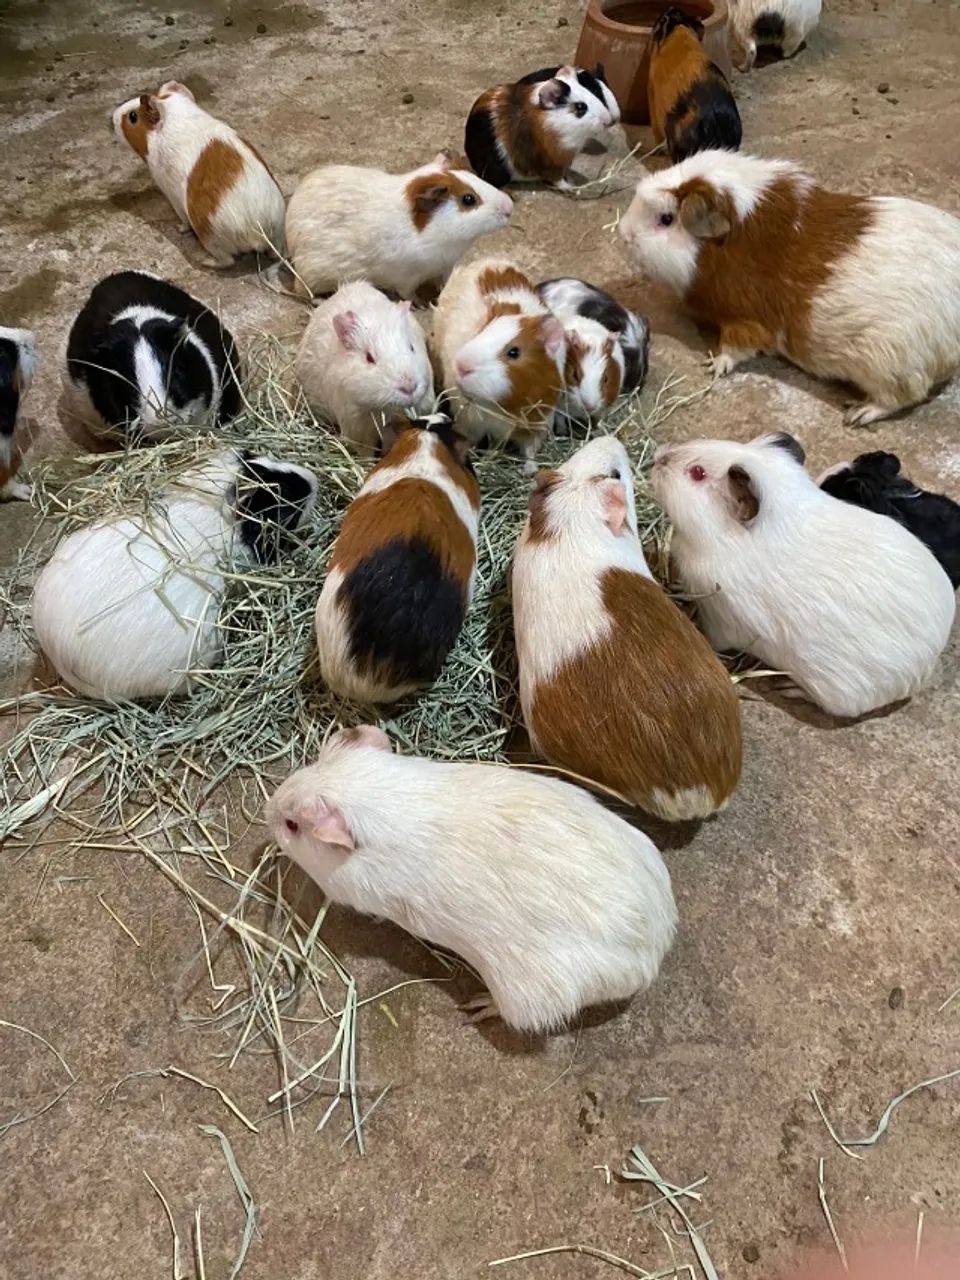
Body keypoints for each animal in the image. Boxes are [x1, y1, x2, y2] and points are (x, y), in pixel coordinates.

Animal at [113, 80, 285, 268]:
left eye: (133, 116)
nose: (113, 117)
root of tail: (259, 232)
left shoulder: (172, 196)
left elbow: (182, 221)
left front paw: (179, 229)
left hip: (210, 238)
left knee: (226, 261)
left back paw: (203, 260)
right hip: (276, 238)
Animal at [285, 152, 513, 300]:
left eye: (475, 178)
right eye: (468, 199)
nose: (509, 207)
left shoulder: (445, 266)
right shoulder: (407, 279)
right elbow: (408, 294)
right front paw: (421, 304)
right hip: (311, 278)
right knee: (301, 293)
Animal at [433, 258, 566, 463]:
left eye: (514, 352)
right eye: (481, 332)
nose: (461, 366)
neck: (503, 407)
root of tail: (486, 261)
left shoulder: (536, 426)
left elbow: (530, 453)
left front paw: (530, 467)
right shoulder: (470, 424)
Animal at [465, 65, 620, 191]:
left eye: (594, 93)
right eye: (580, 107)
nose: (609, 120)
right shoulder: (555, 162)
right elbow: (557, 179)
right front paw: (571, 187)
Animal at [618, 150, 960, 426]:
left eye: (666, 219)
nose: (624, 233)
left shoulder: (745, 321)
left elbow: (734, 349)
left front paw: (712, 366)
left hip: (888, 366)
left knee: (900, 397)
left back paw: (856, 413)